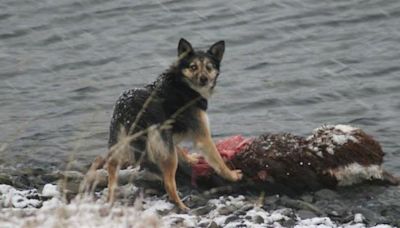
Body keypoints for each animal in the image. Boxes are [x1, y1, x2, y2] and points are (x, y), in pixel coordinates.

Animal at [101, 37, 242, 210]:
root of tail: (130, 110)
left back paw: (110, 199)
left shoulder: (170, 137)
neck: (183, 83)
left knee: (111, 174)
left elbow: (180, 149)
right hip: (165, 152)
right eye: (193, 67)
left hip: (117, 143)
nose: (204, 79)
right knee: (169, 183)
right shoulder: (202, 136)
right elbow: (218, 161)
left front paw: (191, 159)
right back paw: (182, 206)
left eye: (209, 67)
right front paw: (232, 175)